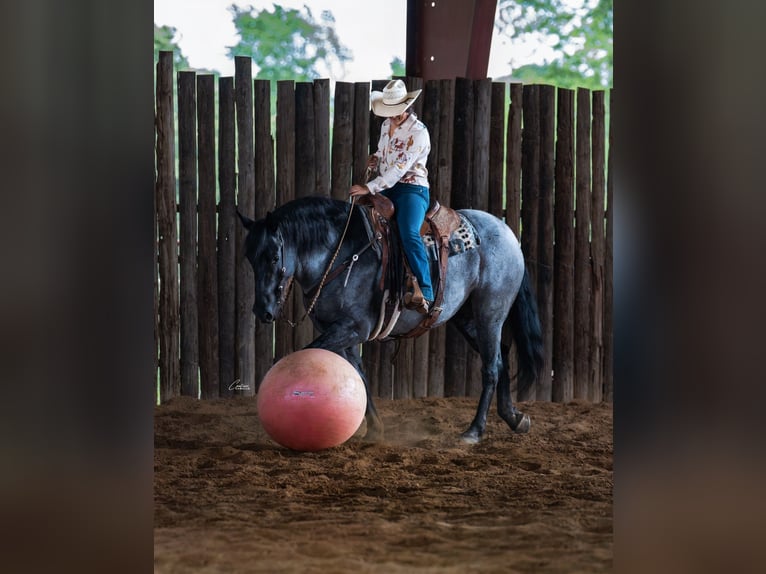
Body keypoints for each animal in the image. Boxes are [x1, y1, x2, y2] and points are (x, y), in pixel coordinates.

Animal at [239, 196, 544, 443]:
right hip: (466, 317)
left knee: (491, 367)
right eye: (250, 258)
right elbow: (359, 373)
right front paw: (375, 429)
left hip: (490, 312)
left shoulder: (353, 328)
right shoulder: (340, 331)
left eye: (274, 256)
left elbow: (309, 355)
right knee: (501, 357)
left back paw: (474, 431)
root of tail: (507, 233)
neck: (340, 255)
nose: (263, 311)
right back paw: (514, 418)